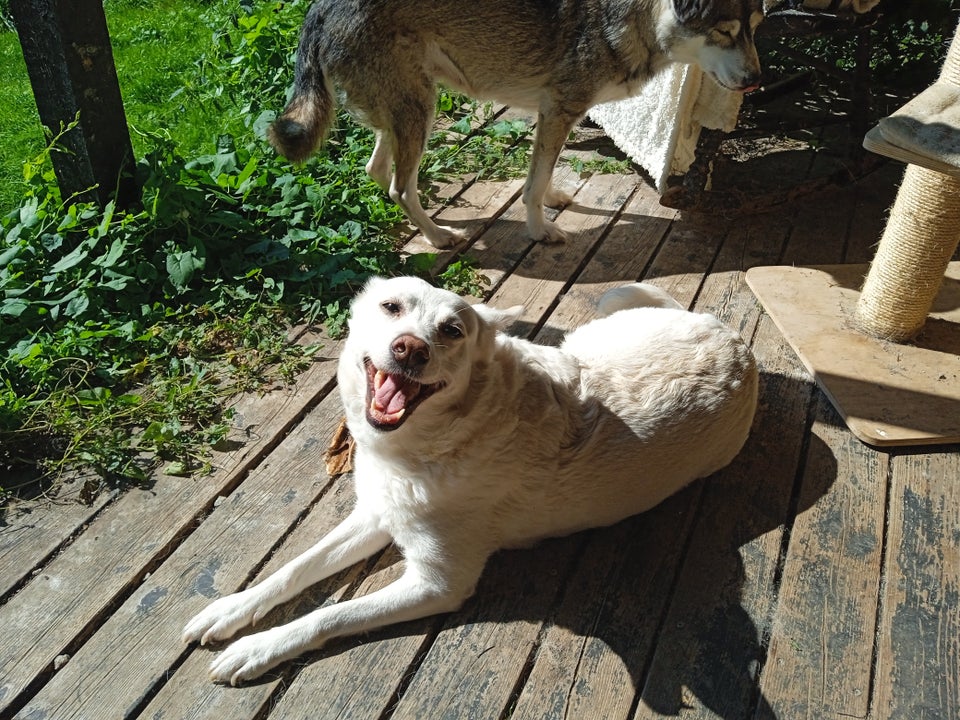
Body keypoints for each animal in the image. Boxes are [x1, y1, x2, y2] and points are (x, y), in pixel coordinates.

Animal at [184, 278, 756, 688]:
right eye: (391, 307)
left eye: (453, 331)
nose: (410, 349)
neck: (431, 443)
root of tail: (736, 341)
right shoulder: (376, 513)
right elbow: (293, 570)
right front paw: (230, 611)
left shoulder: (436, 583)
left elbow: (329, 616)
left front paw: (256, 648)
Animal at [268, 0, 756, 246]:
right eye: (725, 32)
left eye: (755, 26)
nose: (757, 80)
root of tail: (319, 6)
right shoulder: (560, 109)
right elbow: (532, 187)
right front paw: (540, 231)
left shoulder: (552, 113)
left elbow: (543, 173)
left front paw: (555, 197)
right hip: (419, 110)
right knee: (399, 187)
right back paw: (437, 235)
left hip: (409, 110)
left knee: (377, 171)